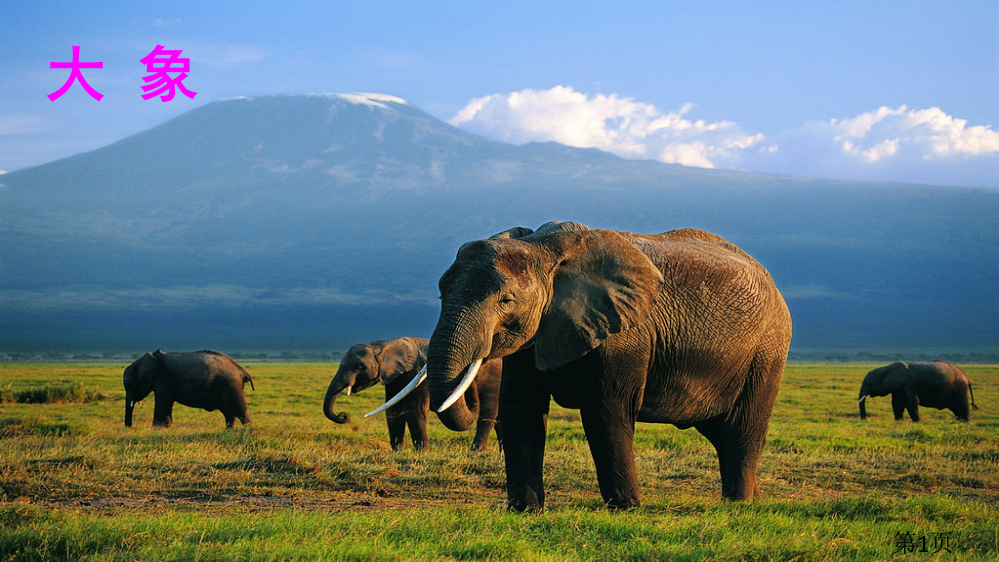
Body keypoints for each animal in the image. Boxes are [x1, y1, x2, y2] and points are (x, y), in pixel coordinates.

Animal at [123, 348, 256, 426]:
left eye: (128, 384)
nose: (130, 427)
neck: (154, 357)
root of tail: (242, 370)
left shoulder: (163, 378)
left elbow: (163, 401)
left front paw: (159, 428)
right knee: (228, 411)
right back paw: (228, 431)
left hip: (229, 385)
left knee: (239, 409)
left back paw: (248, 430)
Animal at [324, 336, 504, 450]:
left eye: (360, 367)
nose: (343, 415)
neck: (382, 345)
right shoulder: (395, 377)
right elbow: (394, 410)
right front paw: (397, 451)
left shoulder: (416, 374)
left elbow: (415, 410)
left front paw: (422, 452)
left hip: (493, 379)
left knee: (487, 414)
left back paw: (476, 450)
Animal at [378, 221, 792, 510]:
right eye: (441, 293)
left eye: (506, 301)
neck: (544, 249)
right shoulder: (534, 337)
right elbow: (522, 413)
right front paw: (524, 511)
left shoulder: (625, 335)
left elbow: (606, 414)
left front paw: (626, 509)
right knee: (720, 433)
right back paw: (753, 499)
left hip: (768, 350)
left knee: (741, 430)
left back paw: (738, 504)